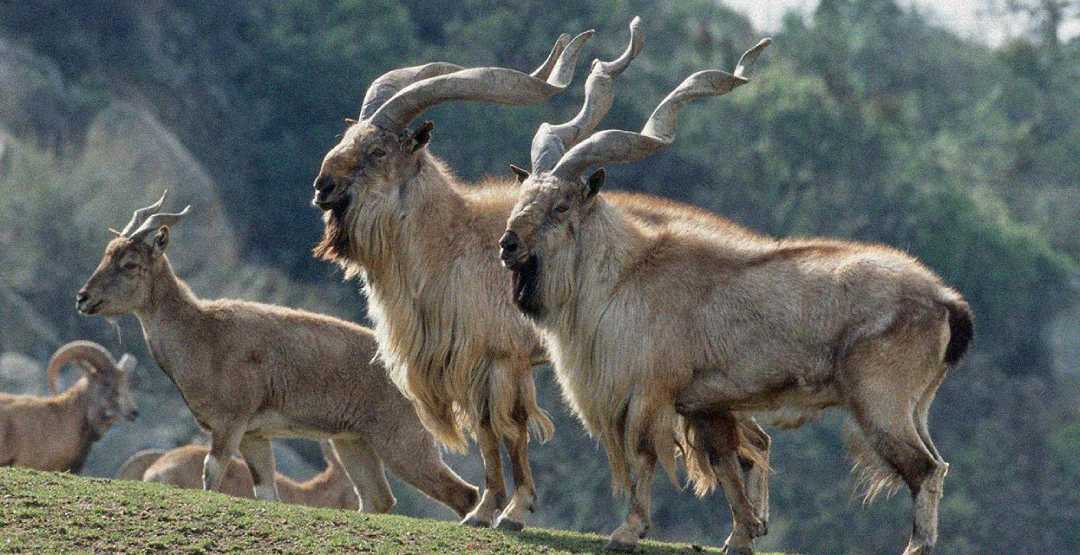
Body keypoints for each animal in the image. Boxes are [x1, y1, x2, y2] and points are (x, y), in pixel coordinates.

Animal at [311, 18, 772, 532]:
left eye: (375, 151)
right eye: (348, 137)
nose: (322, 186)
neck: (449, 241)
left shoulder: (502, 358)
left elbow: (510, 430)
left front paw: (513, 511)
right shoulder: (474, 365)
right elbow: (487, 434)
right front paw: (484, 510)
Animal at [501, 43, 972, 555]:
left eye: (561, 205)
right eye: (523, 196)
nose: (508, 244)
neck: (625, 275)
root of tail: (947, 302)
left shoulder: (649, 392)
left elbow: (646, 456)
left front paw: (627, 531)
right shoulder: (705, 405)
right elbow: (728, 466)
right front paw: (741, 536)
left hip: (881, 403)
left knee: (924, 470)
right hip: (916, 406)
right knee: (938, 464)